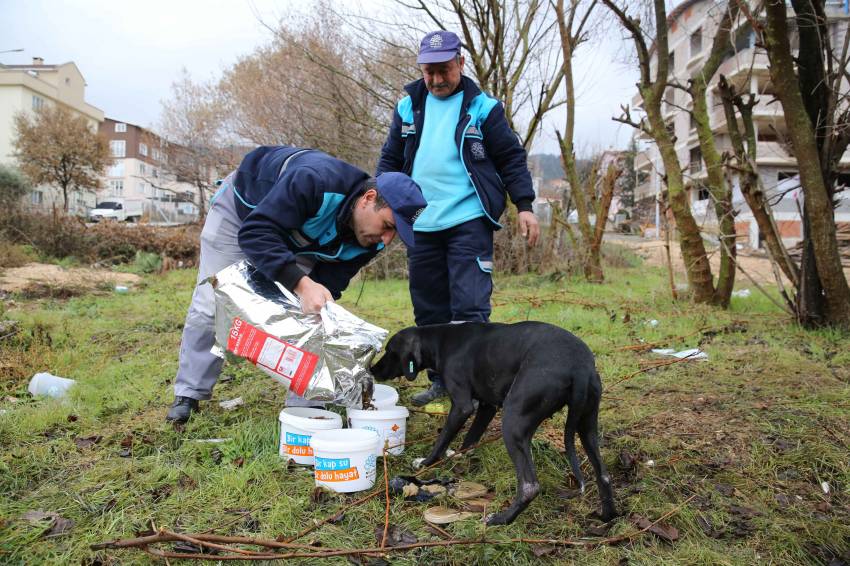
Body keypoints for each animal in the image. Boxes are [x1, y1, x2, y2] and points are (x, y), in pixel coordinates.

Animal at [368, 324, 612, 528]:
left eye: (390, 351)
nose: (372, 370)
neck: (441, 339)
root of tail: (579, 367)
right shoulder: (487, 406)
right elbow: (471, 437)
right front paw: (459, 455)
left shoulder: (462, 406)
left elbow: (443, 439)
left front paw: (427, 462)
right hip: (587, 425)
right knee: (604, 475)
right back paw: (607, 517)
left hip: (513, 420)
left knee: (529, 486)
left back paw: (500, 520)